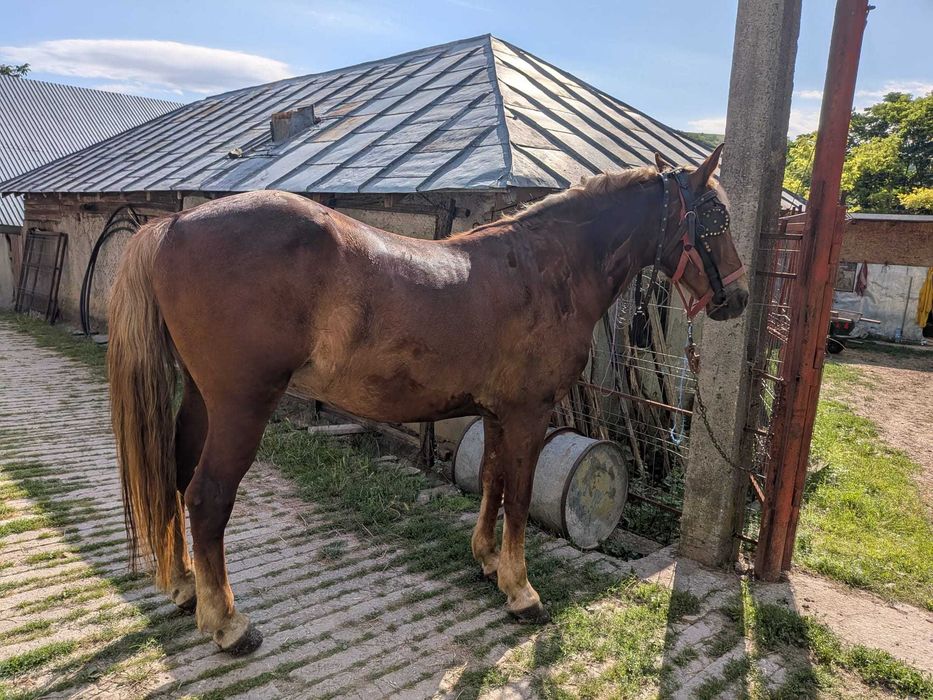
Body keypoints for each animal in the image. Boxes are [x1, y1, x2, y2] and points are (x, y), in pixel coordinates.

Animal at [107, 144, 747, 655]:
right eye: (715, 216)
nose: (736, 299)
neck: (546, 268)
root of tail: (174, 226)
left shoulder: (496, 413)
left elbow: (491, 482)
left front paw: (488, 561)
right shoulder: (529, 413)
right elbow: (519, 497)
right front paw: (522, 590)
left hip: (202, 399)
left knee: (175, 473)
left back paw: (186, 587)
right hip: (242, 407)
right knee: (208, 498)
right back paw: (228, 623)